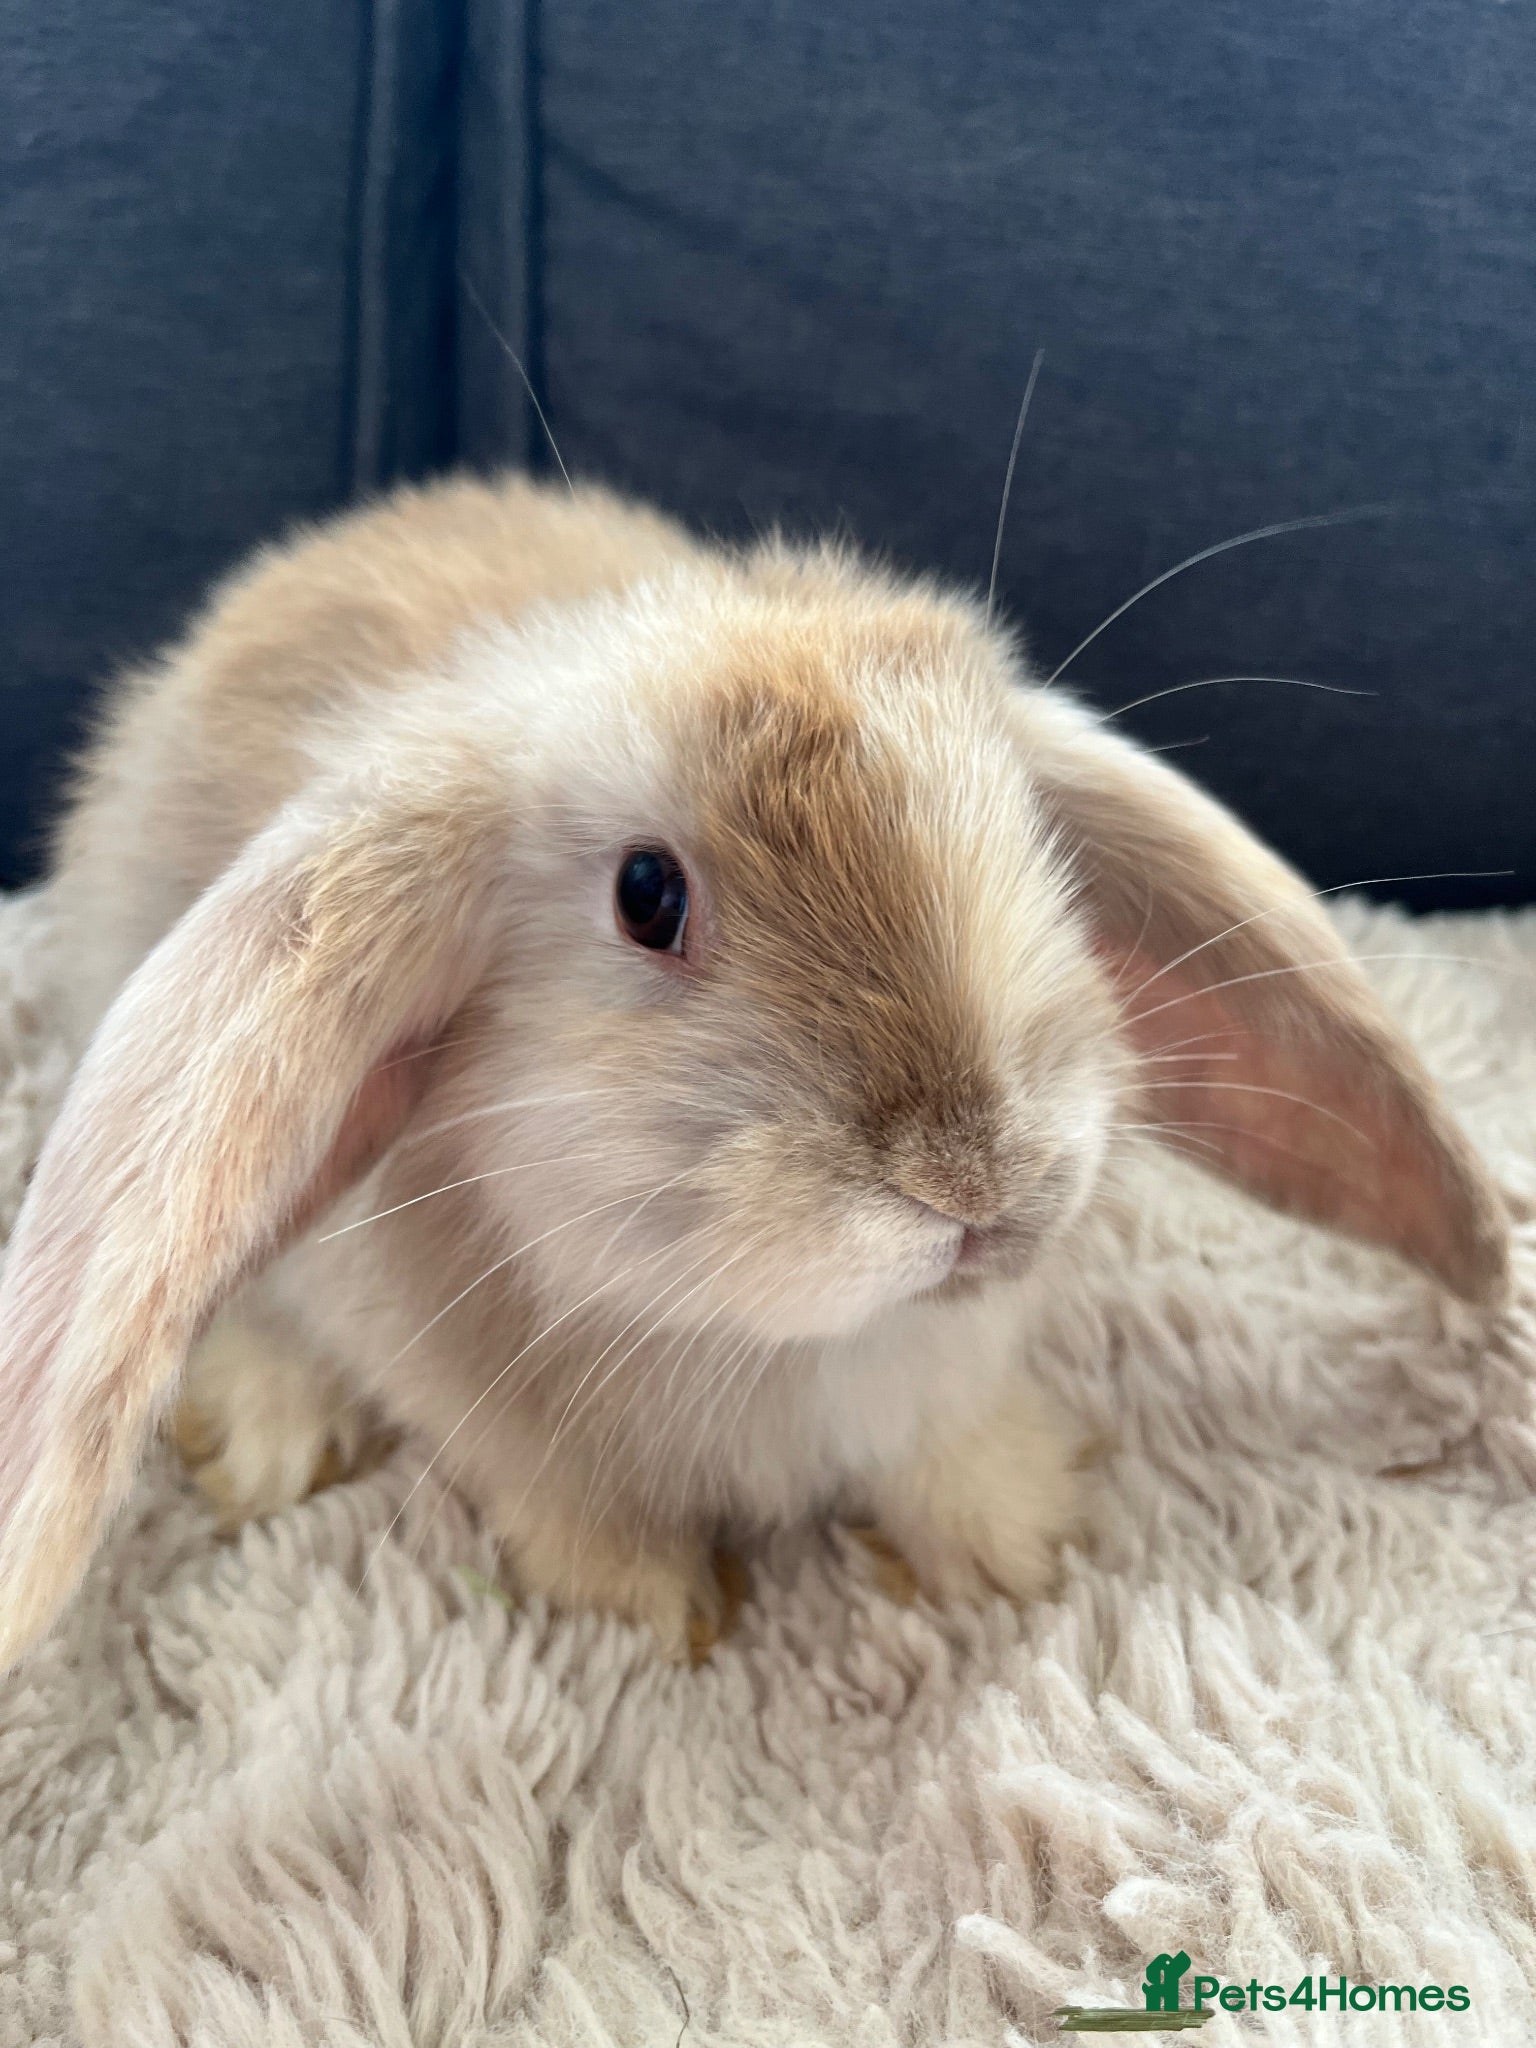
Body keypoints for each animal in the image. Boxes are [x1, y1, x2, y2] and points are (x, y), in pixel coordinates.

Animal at [0, 471, 1509, 1667]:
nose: (974, 1179)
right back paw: (273, 1431)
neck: (789, 1343)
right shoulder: (481, 1408)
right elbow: (563, 1505)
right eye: (647, 895)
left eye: (1032, 842)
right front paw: (661, 1608)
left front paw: (1015, 1544)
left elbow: (951, 1461)